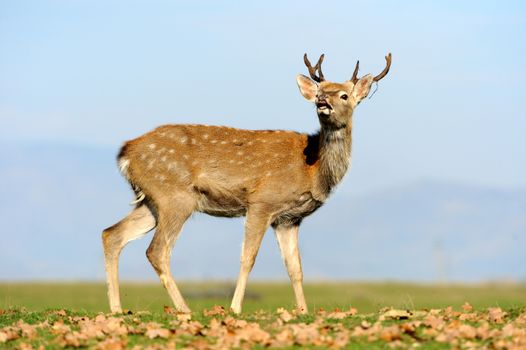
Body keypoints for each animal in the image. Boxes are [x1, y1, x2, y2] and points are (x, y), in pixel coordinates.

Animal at [102, 52, 392, 314]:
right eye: (321, 90)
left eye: (344, 95)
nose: (322, 100)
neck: (313, 168)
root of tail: (125, 153)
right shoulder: (262, 202)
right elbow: (248, 258)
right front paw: (234, 308)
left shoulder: (288, 219)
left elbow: (295, 268)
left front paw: (303, 311)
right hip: (175, 196)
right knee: (157, 251)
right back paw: (184, 309)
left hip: (152, 200)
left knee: (111, 234)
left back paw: (116, 308)